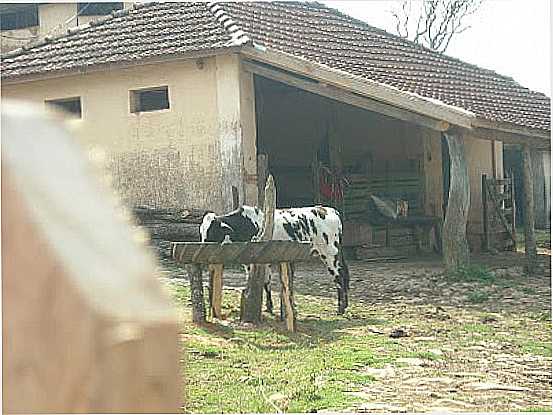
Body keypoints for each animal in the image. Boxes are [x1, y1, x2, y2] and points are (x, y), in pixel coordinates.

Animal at [198, 205, 350, 316]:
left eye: (212, 232)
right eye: (202, 232)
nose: (202, 248)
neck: (247, 224)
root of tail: (330, 210)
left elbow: (263, 282)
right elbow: (264, 282)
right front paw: (268, 307)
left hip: (330, 254)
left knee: (339, 277)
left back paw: (340, 308)